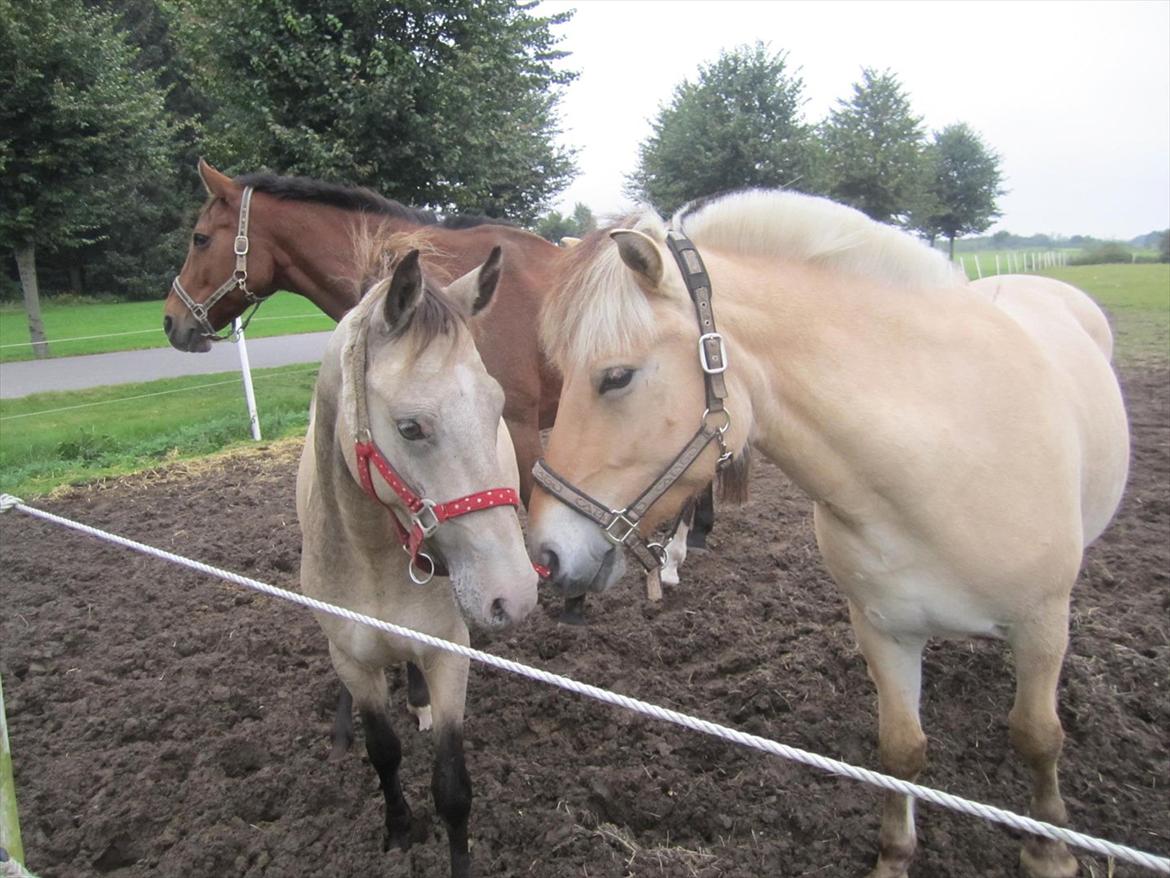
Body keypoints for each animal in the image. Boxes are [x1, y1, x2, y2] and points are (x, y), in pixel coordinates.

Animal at [301, 235, 538, 878]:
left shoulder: (450, 654)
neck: (372, 554)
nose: (515, 595)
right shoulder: (351, 657)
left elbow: (453, 787)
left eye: (496, 406)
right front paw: (399, 829)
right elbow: (383, 751)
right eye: (410, 427)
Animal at [531, 191, 1132, 878]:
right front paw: (894, 857)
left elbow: (1037, 736)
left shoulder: (1040, 622)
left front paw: (1049, 849)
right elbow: (901, 753)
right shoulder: (884, 630)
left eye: (616, 377)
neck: (944, 455)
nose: (545, 553)